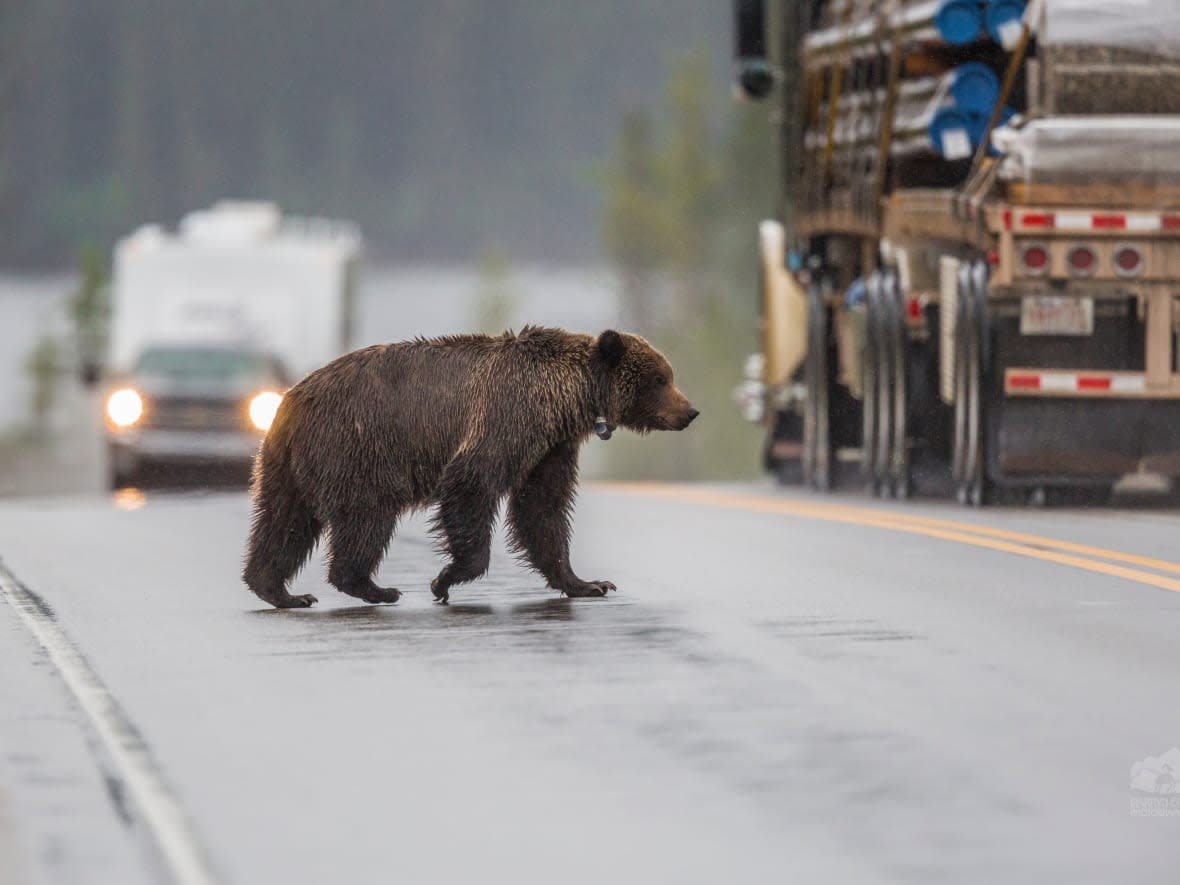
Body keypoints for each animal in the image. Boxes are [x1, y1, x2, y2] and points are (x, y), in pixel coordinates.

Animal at [244, 325, 693, 608]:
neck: (567, 397)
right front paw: (444, 580)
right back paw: (375, 588)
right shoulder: (509, 416)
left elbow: (543, 509)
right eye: (660, 379)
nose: (690, 411)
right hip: (357, 448)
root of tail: (291, 399)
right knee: (364, 517)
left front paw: (589, 583)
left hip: (287, 464)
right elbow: (472, 481)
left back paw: (279, 590)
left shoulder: (550, 448)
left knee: (283, 521)